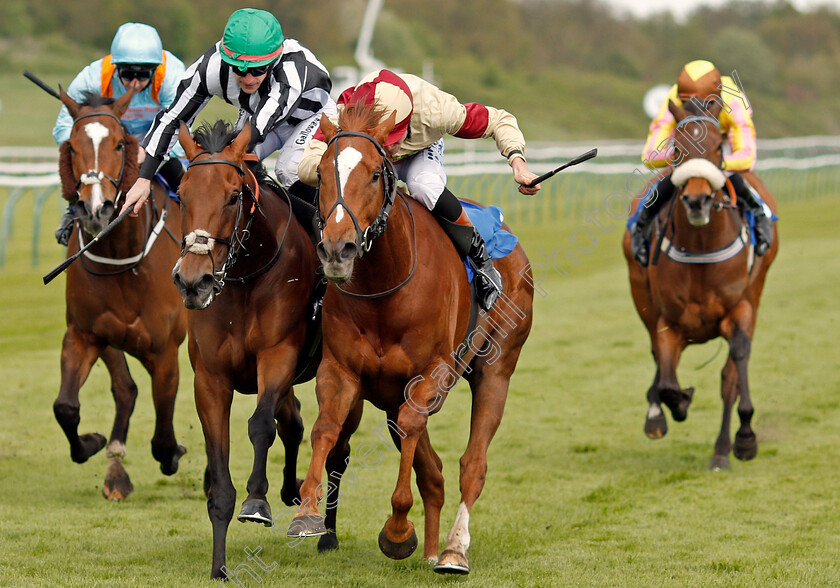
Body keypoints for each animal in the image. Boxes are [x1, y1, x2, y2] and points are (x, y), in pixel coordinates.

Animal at [55, 88, 188, 500]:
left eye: (118, 143)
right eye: (72, 146)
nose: (95, 209)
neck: (121, 259)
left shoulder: (164, 350)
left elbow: (163, 438)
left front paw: (174, 452)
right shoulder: (84, 334)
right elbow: (66, 407)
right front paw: (92, 442)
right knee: (125, 389)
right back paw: (115, 468)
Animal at [174, 119, 322, 580]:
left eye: (233, 195)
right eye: (181, 194)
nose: (194, 281)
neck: (243, 279)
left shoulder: (278, 355)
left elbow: (260, 425)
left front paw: (257, 501)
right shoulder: (210, 379)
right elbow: (219, 461)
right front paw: (219, 566)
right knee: (294, 422)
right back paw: (294, 490)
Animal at [288, 104, 536, 576]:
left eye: (373, 174)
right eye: (323, 175)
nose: (337, 249)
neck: (385, 285)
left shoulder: (431, 372)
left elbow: (411, 430)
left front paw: (399, 530)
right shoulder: (341, 370)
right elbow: (326, 427)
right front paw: (306, 512)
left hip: (497, 368)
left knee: (472, 464)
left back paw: (454, 550)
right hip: (389, 392)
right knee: (433, 471)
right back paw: (434, 549)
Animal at [624, 100, 780, 468]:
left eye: (717, 150)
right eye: (676, 150)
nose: (697, 201)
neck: (700, 248)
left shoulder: (741, 310)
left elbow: (734, 368)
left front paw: (744, 437)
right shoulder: (669, 321)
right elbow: (667, 380)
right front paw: (675, 404)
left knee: (729, 376)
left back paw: (723, 449)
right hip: (640, 294)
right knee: (658, 359)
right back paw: (657, 413)